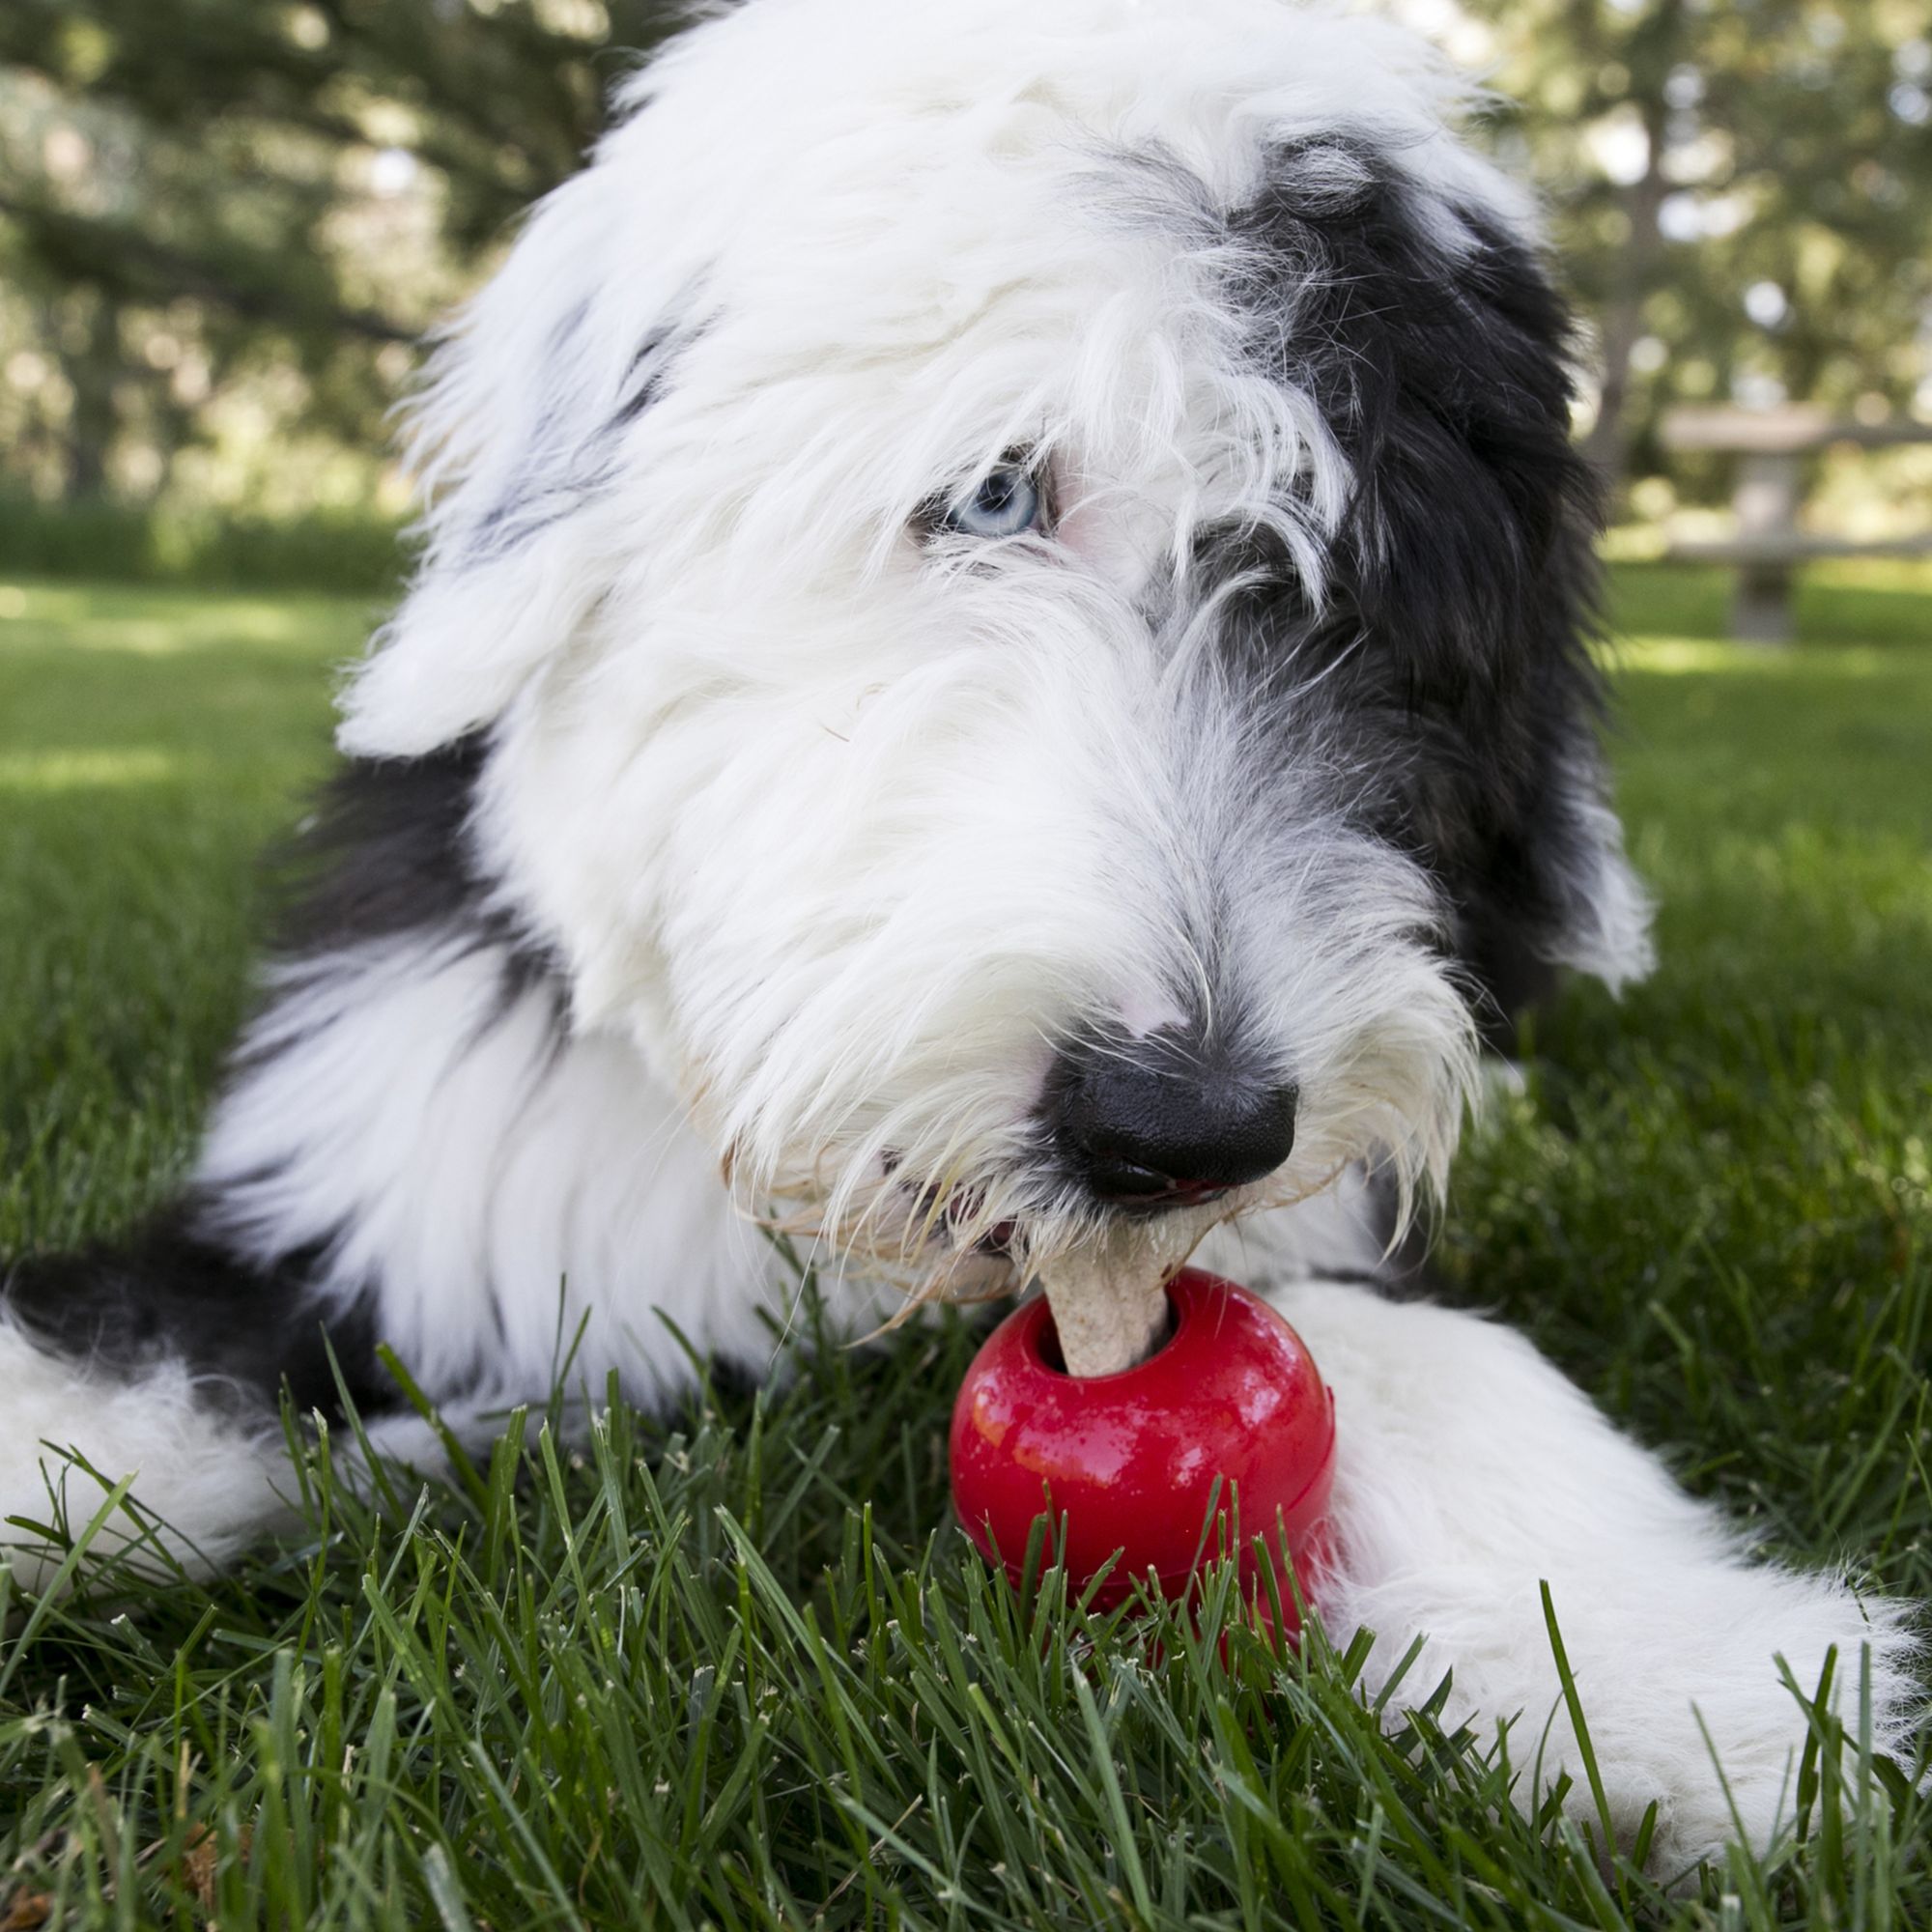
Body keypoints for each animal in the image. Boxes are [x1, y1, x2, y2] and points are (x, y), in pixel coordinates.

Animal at [3, 0, 1917, 1870]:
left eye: (1364, 609)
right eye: (993, 499)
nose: (1180, 1126)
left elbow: (1401, 1340)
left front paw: (1678, 1682)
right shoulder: (422, 1179)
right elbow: (129, 1360)